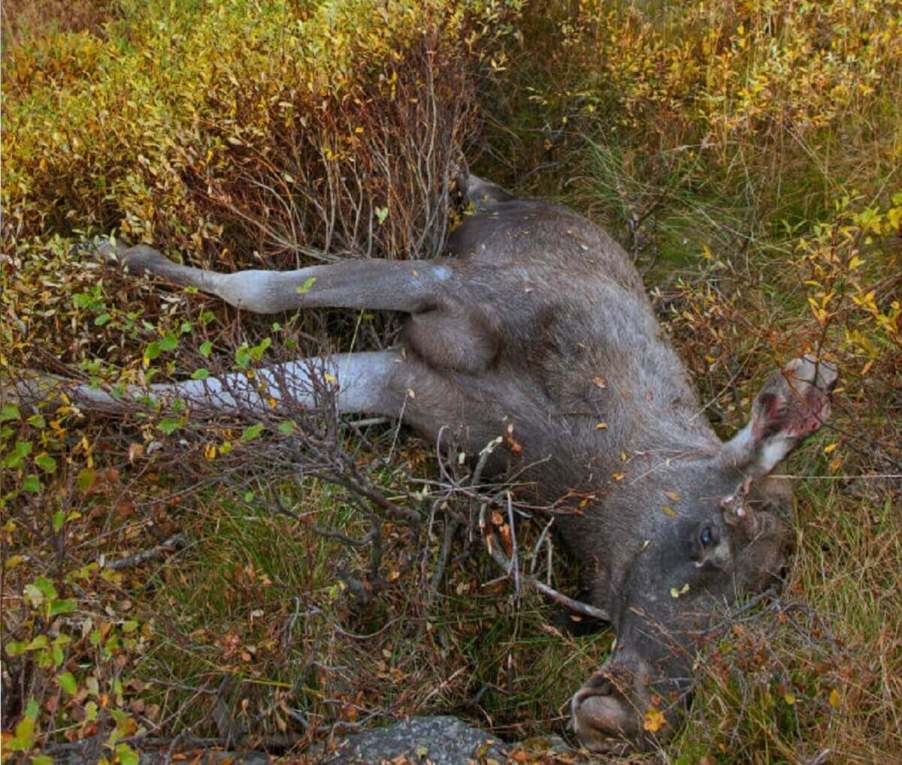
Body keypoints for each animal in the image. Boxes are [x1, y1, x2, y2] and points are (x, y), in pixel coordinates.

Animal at [7, 173, 837, 753]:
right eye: (709, 534)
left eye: (753, 612)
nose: (623, 711)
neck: (567, 461)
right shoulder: (447, 288)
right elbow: (262, 289)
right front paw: (113, 252)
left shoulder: (400, 383)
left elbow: (186, 398)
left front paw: (36, 389)